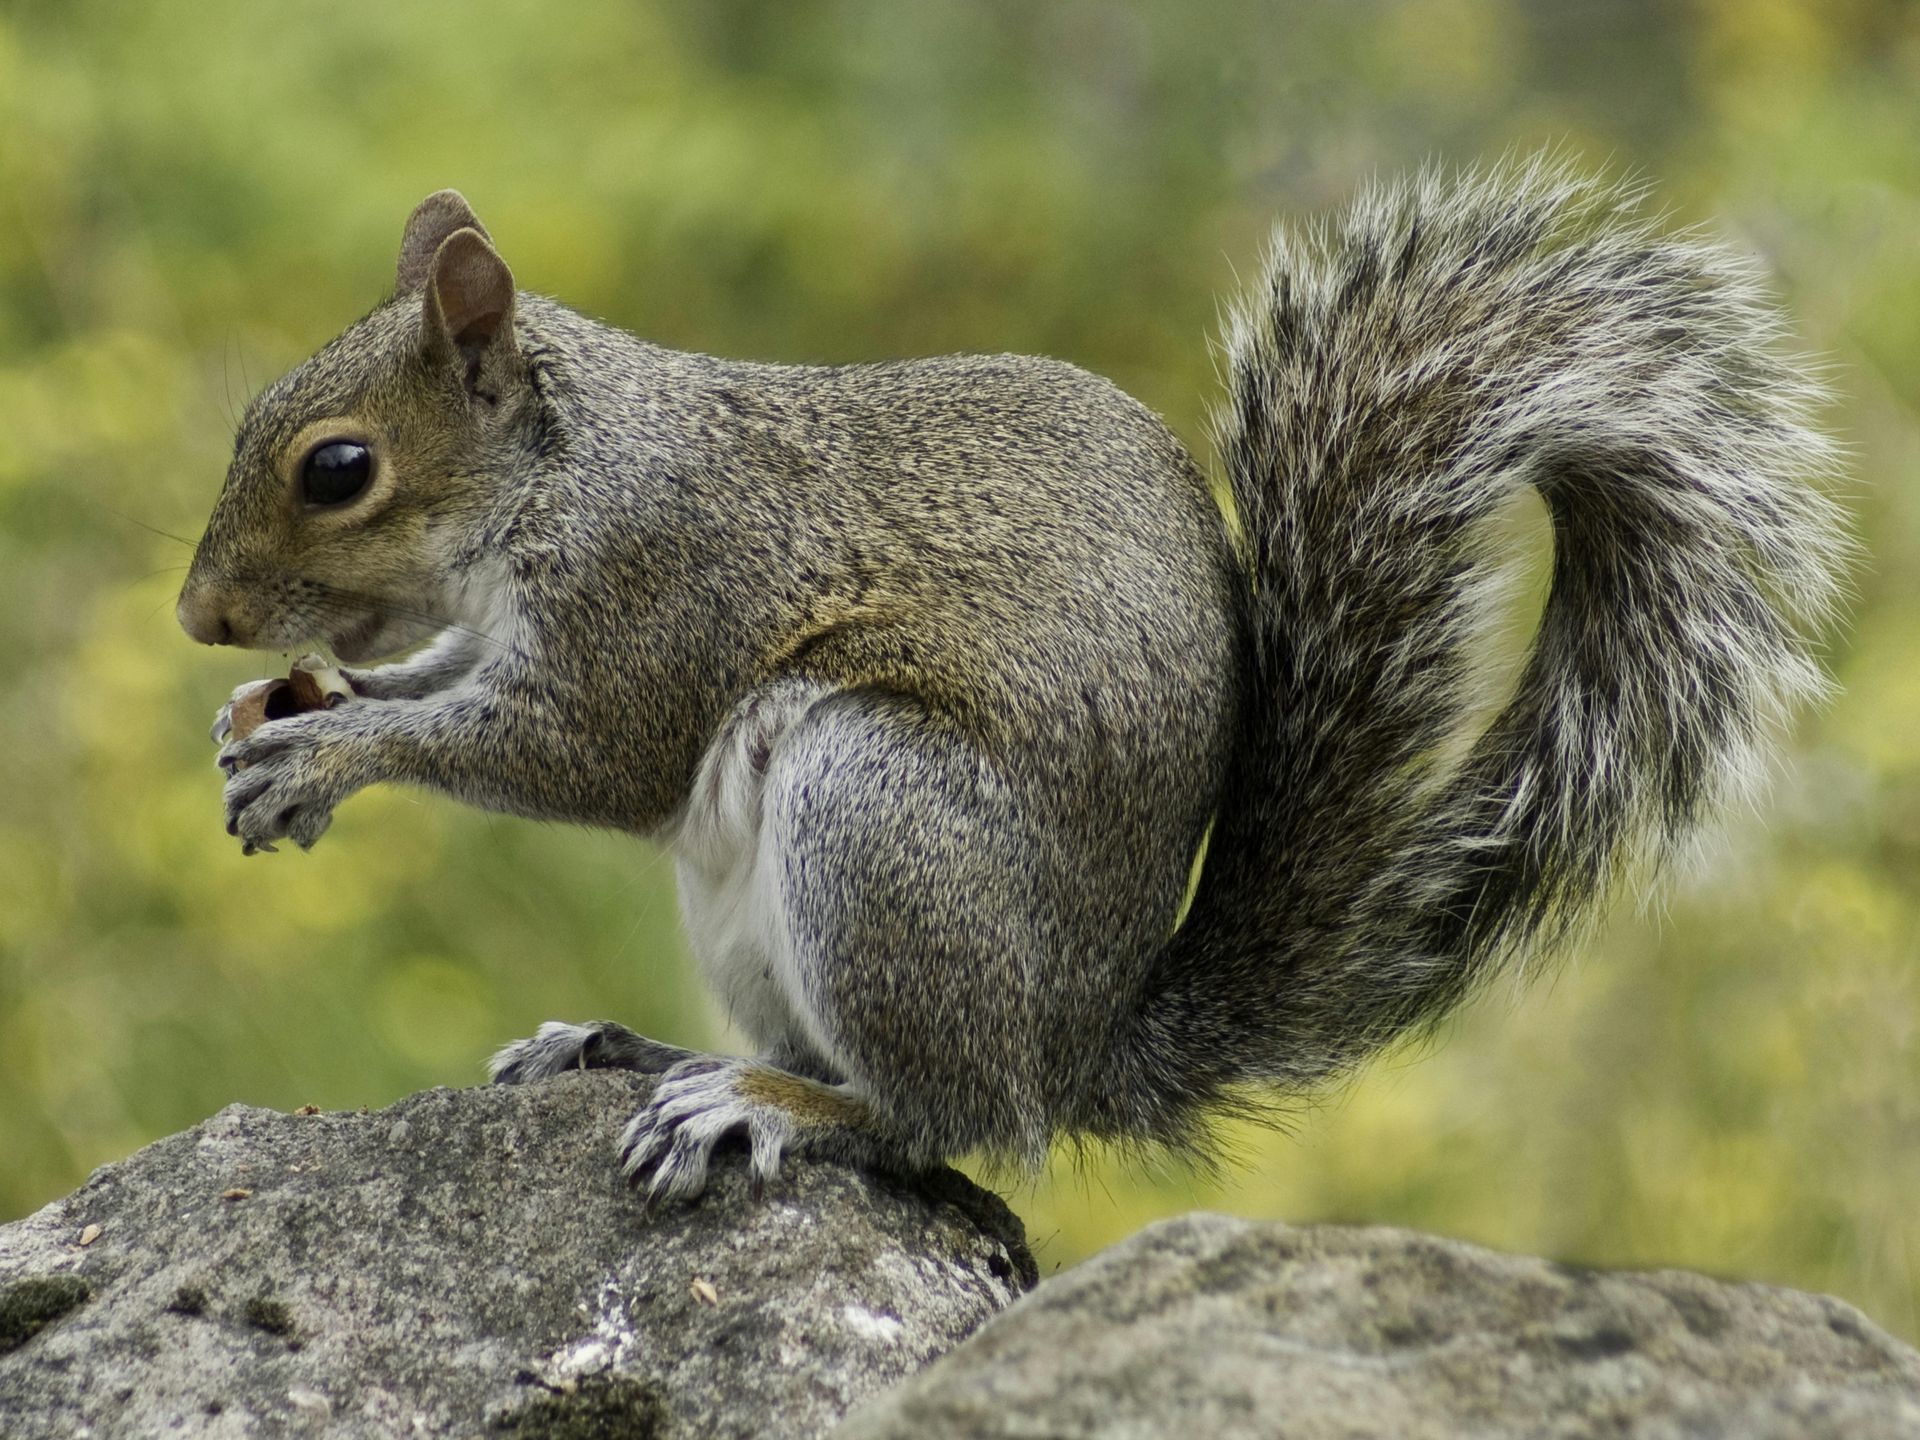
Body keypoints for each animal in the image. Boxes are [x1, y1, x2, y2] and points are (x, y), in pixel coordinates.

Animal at [177, 162, 1846, 1204]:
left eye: (338, 468)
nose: (200, 617)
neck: (563, 472)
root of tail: (1075, 1045)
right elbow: (452, 675)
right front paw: (288, 713)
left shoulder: (660, 596)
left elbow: (580, 753)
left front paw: (328, 755)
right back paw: (640, 1050)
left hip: (879, 816)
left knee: (943, 1124)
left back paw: (767, 1105)